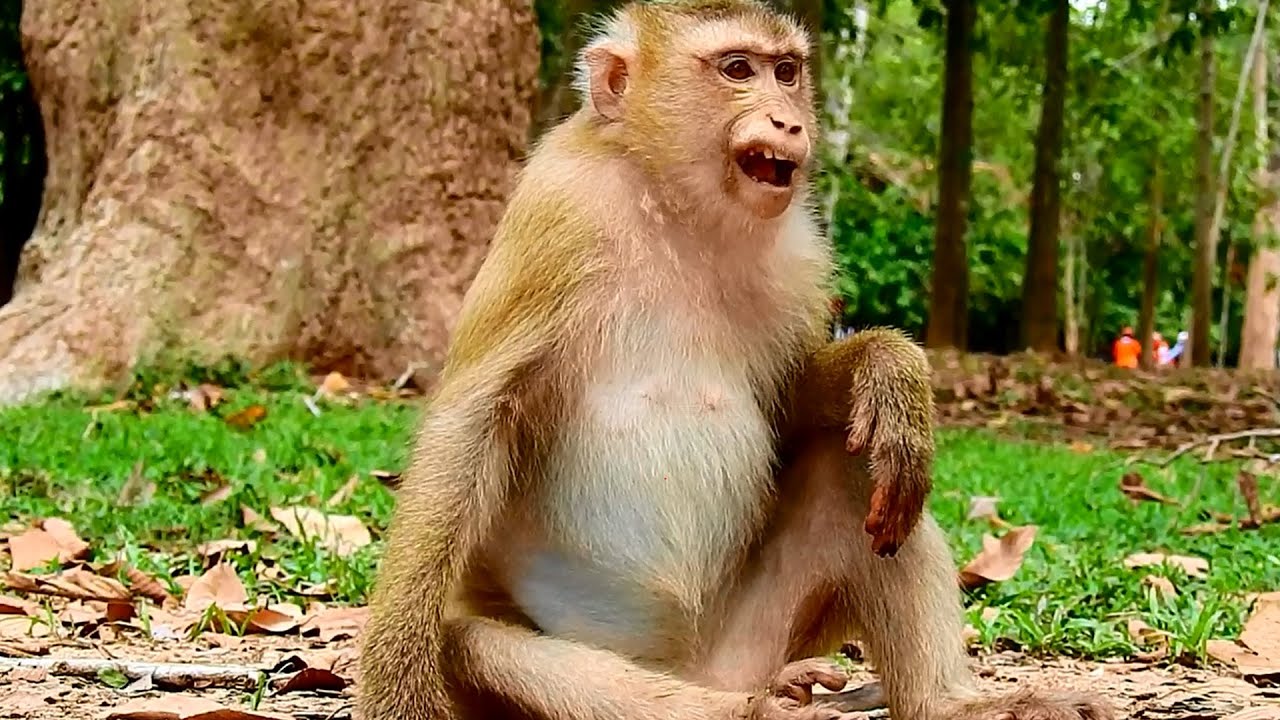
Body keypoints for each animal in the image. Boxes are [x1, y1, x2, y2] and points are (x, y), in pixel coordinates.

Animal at [357, 2, 1114, 720]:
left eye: (786, 72)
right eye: (737, 70)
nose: (787, 120)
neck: (676, 207)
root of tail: (694, 669)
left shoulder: (801, 253)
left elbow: (792, 404)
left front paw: (887, 370)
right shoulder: (558, 211)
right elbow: (473, 416)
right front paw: (396, 679)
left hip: (752, 636)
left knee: (863, 470)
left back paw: (947, 703)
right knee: (477, 644)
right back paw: (751, 710)